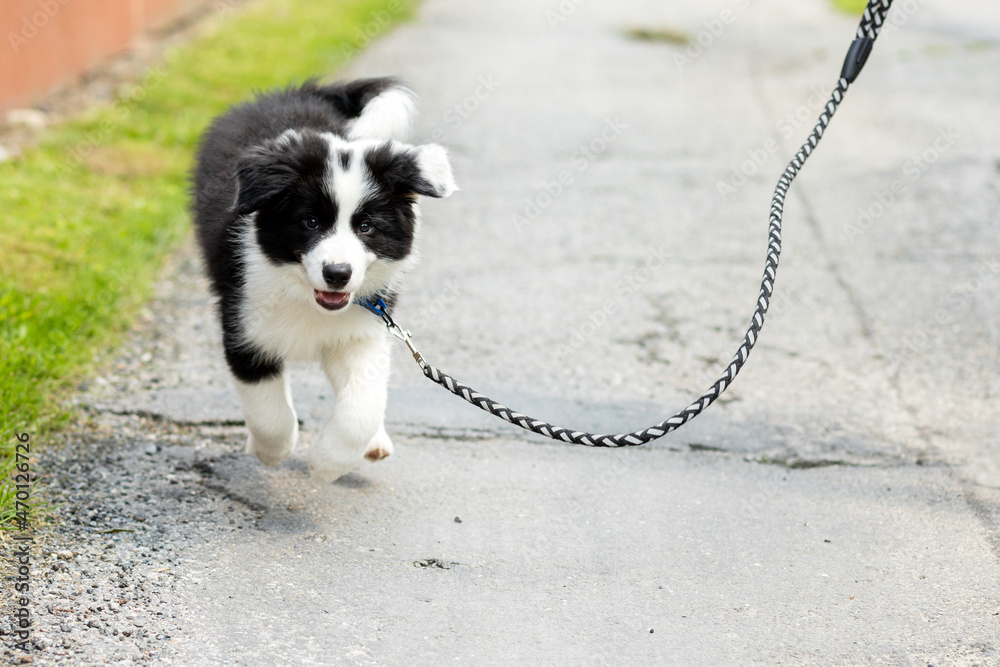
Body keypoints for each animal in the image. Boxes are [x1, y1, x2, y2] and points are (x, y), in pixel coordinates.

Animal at [192, 79, 458, 480]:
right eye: (311, 222)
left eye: (366, 227)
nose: (337, 274)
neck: (305, 297)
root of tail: (294, 93)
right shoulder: (243, 327)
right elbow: (269, 412)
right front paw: (272, 451)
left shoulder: (363, 328)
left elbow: (363, 405)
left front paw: (326, 463)